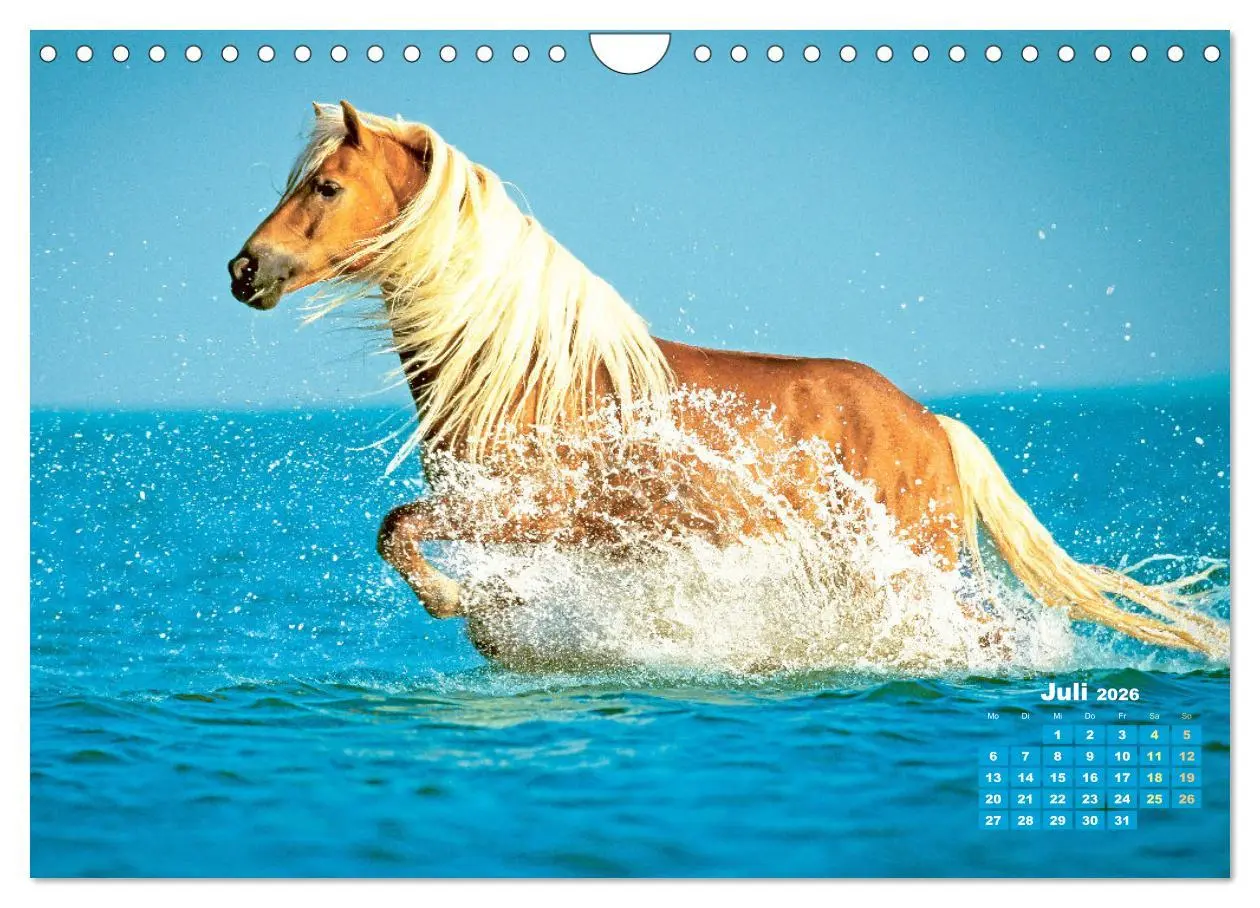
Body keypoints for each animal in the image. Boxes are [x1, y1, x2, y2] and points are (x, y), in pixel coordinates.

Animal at [228, 101, 1227, 663]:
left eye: (324, 186)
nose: (245, 270)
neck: (523, 371)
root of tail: (932, 422)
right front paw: (496, 624)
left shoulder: (523, 510)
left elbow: (396, 530)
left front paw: (456, 606)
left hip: (913, 565)